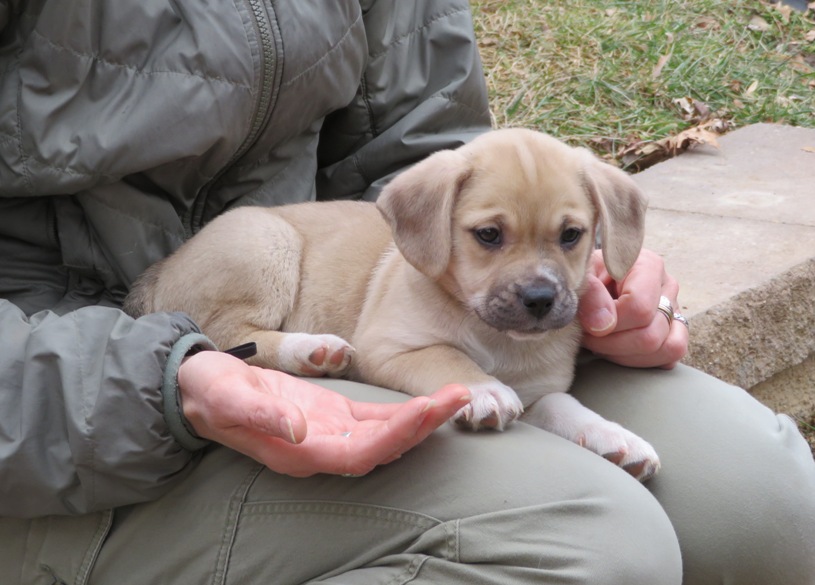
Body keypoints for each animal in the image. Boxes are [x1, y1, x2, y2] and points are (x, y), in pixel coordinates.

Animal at [129, 129, 664, 480]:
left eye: (571, 235)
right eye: (489, 235)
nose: (540, 299)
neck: (495, 340)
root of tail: (162, 269)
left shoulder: (538, 393)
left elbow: (566, 406)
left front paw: (616, 437)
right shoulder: (388, 349)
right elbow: (447, 356)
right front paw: (483, 390)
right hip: (265, 244)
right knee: (228, 338)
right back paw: (313, 348)